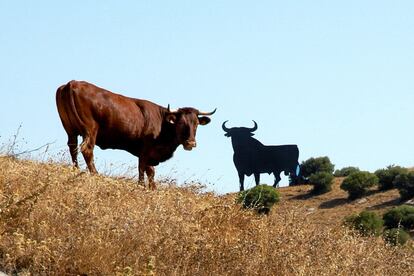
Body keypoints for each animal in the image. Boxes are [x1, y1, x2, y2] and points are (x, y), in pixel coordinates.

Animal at [56, 78, 215, 189]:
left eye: (196, 124)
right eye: (181, 123)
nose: (191, 143)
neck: (162, 122)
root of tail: (73, 83)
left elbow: (150, 171)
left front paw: (153, 188)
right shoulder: (145, 150)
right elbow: (142, 169)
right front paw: (142, 186)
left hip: (70, 129)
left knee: (73, 147)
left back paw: (75, 169)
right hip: (90, 130)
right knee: (87, 149)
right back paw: (95, 174)